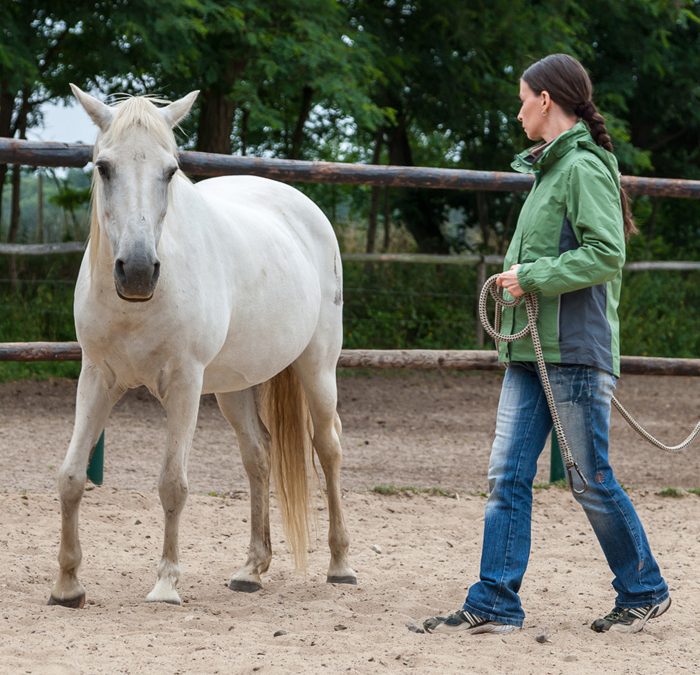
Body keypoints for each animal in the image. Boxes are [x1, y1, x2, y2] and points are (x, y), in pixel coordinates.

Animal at [49, 87, 356, 608]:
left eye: (171, 170)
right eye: (104, 167)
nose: (137, 271)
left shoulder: (184, 383)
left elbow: (172, 484)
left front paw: (166, 584)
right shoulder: (96, 378)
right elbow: (71, 477)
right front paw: (68, 585)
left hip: (317, 367)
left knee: (328, 447)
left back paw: (340, 565)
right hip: (234, 386)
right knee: (258, 455)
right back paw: (252, 569)